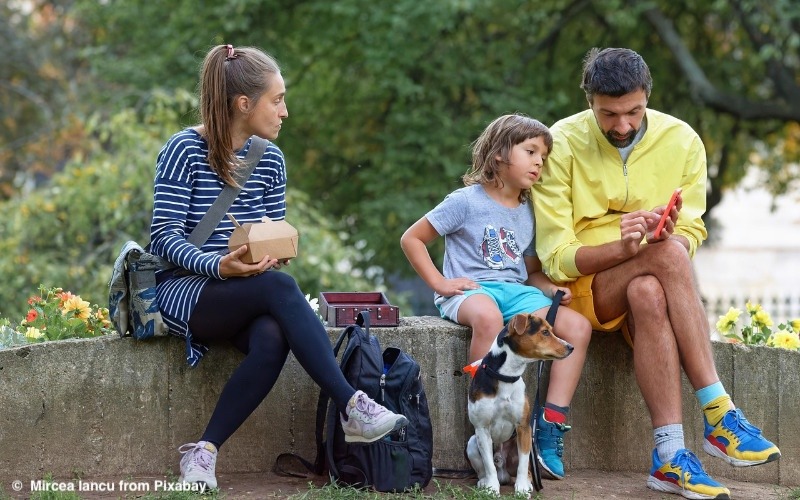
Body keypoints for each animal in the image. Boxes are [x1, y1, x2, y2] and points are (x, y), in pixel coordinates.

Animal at [462, 312, 576, 496]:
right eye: (545, 332)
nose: (571, 347)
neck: (506, 376)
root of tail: (504, 471)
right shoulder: (482, 429)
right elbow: (489, 466)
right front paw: (492, 488)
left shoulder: (523, 428)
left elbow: (523, 466)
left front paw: (522, 488)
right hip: (472, 443)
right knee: (486, 469)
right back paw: (484, 482)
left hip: (526, 446)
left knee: (527, 468)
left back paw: (528, 482)